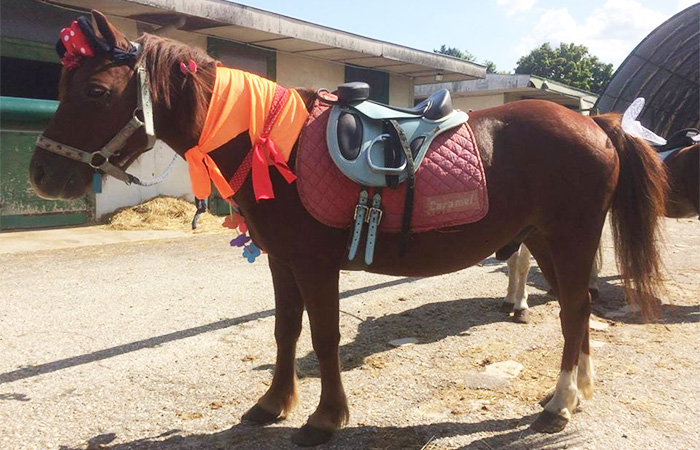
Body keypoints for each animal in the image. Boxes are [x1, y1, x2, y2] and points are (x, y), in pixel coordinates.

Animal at [30, 12, 668, 444]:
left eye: (94, 91)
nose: (41, 174)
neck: (273, 143)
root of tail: (598, 124)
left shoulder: (315, 265)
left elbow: (324, 337)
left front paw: (324, 418)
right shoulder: (283, 262)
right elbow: (286, 333)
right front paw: (273, 404)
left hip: (568, 238)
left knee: (574, 310)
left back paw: (559, 403)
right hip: (546, 241)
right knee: (575, 308)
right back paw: (576, 394)